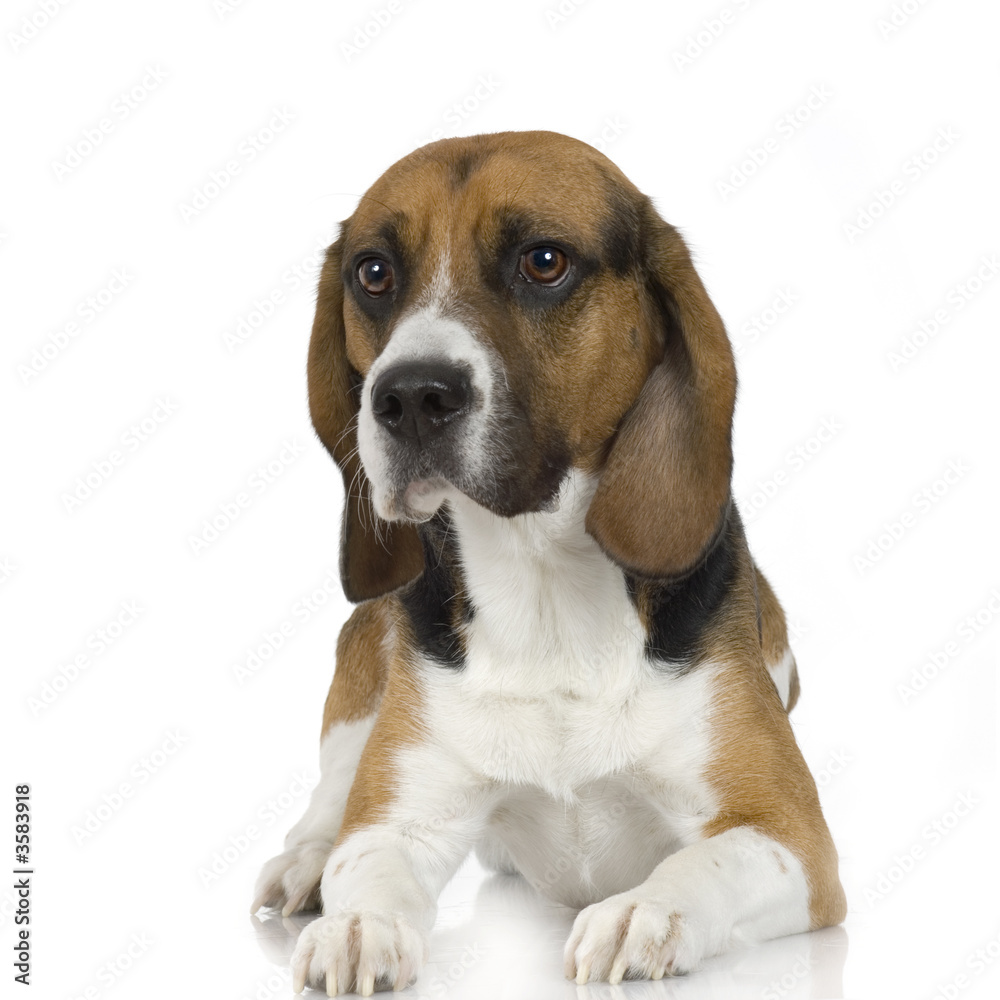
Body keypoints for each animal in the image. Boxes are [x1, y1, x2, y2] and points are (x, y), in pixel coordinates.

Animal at [252, 131, 844, 992]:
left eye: (543, 261)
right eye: (373, 272)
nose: (409, 395)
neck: (542, 586)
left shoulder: (790, 837)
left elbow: (703, 864)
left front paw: (645, 912)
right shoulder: (398, 821)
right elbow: (368, 864)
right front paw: (357, 926)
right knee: (330, 798)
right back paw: (304, 864)